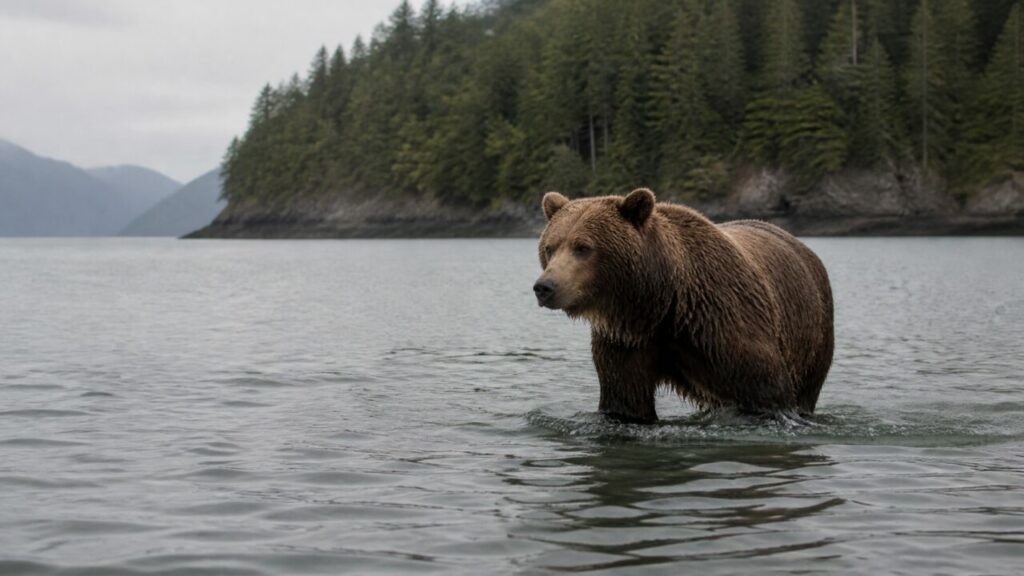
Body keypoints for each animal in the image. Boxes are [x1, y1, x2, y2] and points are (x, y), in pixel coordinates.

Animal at [533, 188, 834, 423]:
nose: (545, 287)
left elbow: (766, 390)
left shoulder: (726, 322)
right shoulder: (626, 341)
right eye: (550, 247)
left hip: (813, 333)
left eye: (583, 247)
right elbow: (625, 398)